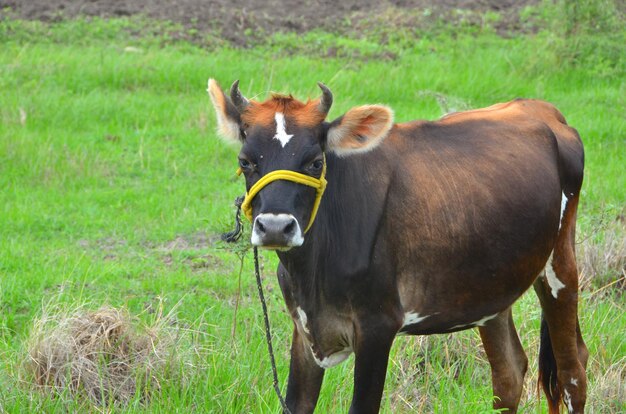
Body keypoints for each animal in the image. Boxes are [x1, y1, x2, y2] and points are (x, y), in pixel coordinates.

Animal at [207, 78, 588, 414]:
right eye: (245, 161)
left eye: (315, 162)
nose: (275, 227)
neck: (313, 271)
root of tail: (542, 109)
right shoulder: (304, 329)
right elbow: (296, 404)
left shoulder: (378, 325)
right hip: (491, 288)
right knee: (509, 373)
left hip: (560, 266)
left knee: (572, 372)